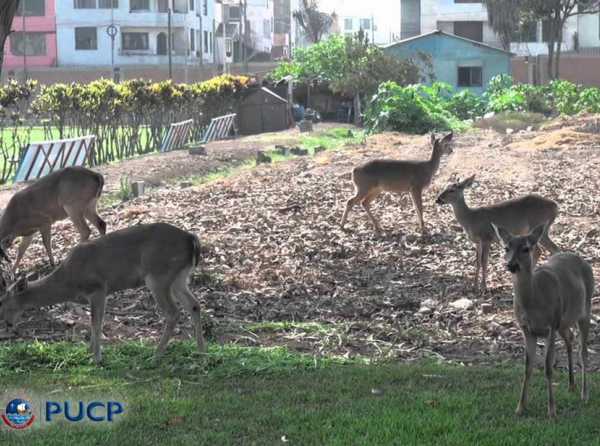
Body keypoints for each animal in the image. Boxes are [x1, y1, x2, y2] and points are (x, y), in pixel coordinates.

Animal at [0, 221, 206, 364]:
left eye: (2, 303)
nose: (8, 325)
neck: (68, 282)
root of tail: (191, 239)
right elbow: (94, 322)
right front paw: (89, 352)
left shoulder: (98, 288)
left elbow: (96, 322)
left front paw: (96, 357)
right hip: (179, 276)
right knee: (194, 305)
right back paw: (200, 351)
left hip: (158, 274)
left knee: (173, 313)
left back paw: (155, 356)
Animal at [490, 225, 592, 420]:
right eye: (506, 248)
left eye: (526, 248)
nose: (511, 265)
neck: (534, 301)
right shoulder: (527, 329)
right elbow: (527, 367)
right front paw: (520, 408)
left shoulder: (550, 325)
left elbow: (547, 368)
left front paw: (551, 411)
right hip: (563, 321)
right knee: (570, 338)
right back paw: (571, 385)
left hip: (585, 309)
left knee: (583, 352)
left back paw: (584, 394)